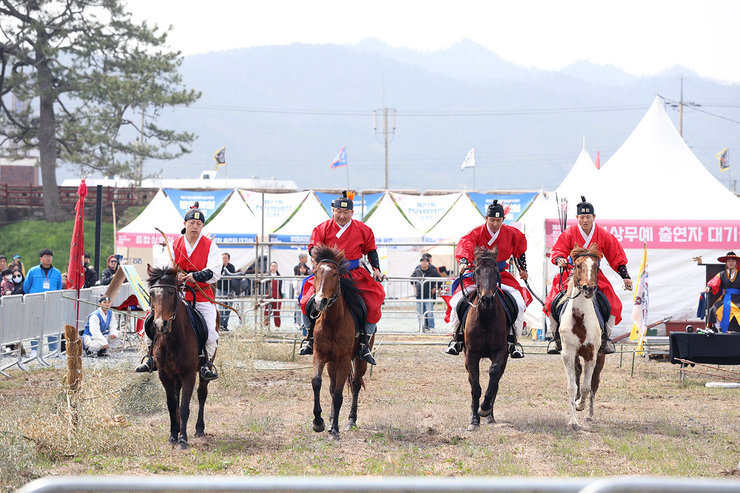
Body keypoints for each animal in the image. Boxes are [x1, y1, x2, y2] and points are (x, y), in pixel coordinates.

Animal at [146, 264, 212, 448]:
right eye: (152, 293)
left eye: (171, 292)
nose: (160, 325)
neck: (172, 339)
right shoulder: (165, 374)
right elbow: (172, 404)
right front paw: (173, 435)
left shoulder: (189, 374)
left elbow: (184, 406)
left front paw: (183, 439)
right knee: (177, 395)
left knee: (202, 394)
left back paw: (199, 429)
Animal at [310, 246, 372, 438]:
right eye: (315, 272)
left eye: (335, 273)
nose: (320, 301)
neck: (332, 321)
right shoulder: (319, 355)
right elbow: (317, 383)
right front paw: (319, 422)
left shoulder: (344, 360)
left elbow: (338, 394)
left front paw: (335, 430)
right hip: (332, 362)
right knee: (331, 386)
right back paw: (330, 419)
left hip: (359, 359)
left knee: (356, 384)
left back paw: (351, 420)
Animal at [462, 246, 508, 430]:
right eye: (477, 271)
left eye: (496, 272)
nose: (487, 299)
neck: (486, 317)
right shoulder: (471, 354)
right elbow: (475, 386)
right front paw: (474, 420)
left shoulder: (501, 352)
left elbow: (493, 377)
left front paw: (485, 408)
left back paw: (489, 415)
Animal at [560, 244, 608, 428]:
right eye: (578, 265)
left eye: (596, 266)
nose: (589, 288)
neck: (579, 318)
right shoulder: (568, 353)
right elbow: (572, 386)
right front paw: (573, 420)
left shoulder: (591, 354)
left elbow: (588, 387)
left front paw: (581, 406)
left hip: (600, 356)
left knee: (594, 382)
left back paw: (589, 413)